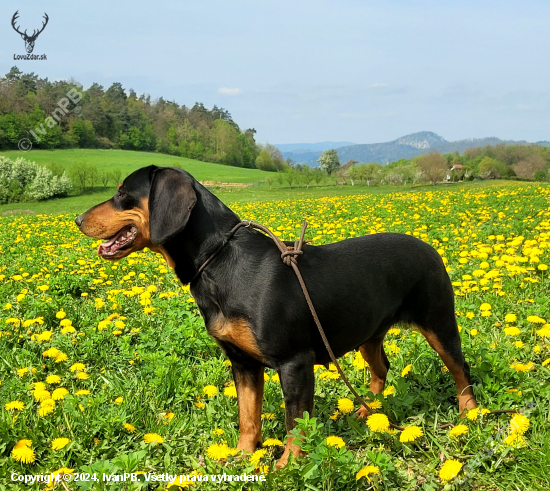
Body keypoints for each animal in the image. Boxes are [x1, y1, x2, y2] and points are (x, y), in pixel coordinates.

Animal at [76, 166, 478, 468]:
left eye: (122, 194)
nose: (77, 218)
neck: (220, 262)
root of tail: (430, 247)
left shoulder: (294, 362)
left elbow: (294, 422)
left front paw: (287, 465)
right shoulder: (242, 363)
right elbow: (248, 417)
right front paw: (242, 457)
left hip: (439, 323)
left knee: (461, 369)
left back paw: (469, 415)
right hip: (368, 334)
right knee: (381, 369)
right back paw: (370, 412)